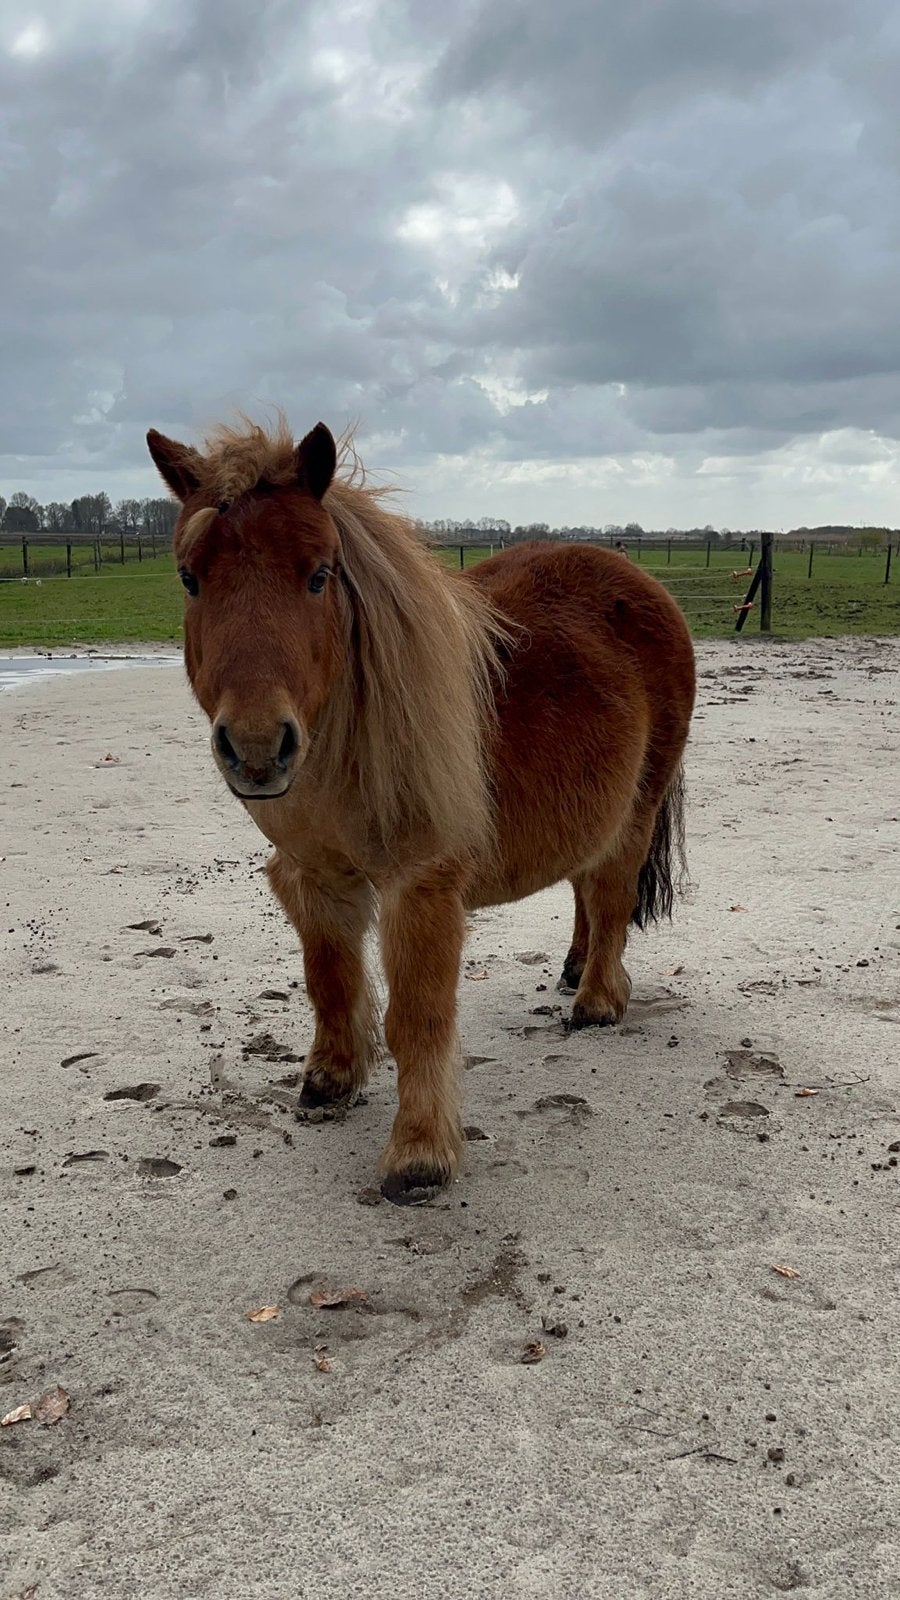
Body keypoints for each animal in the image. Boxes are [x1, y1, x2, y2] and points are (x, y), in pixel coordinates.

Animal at [147, 417, 696, 1205]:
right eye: (191, 579)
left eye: (319, 575)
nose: (255, 747)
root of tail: (640, 581)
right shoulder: (314, 876)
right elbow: (329, 980)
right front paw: (332, 1078)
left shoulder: (421, 884)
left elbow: (417, 1016)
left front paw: (419, 1154)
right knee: (585, 887)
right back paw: (573, 968)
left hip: (638, 807)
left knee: (612, 891)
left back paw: (596, 999)